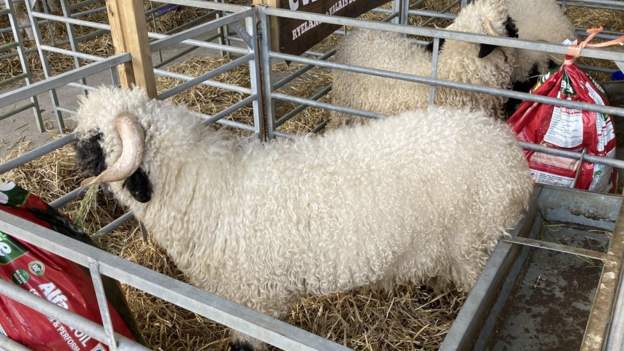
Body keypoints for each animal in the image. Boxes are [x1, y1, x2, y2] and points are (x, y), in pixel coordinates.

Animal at [73, 87, 532, 350]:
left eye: (95, 140)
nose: (73, 160)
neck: (204, 186)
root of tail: (512, 158)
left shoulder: (250, 302)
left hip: (476, 244)